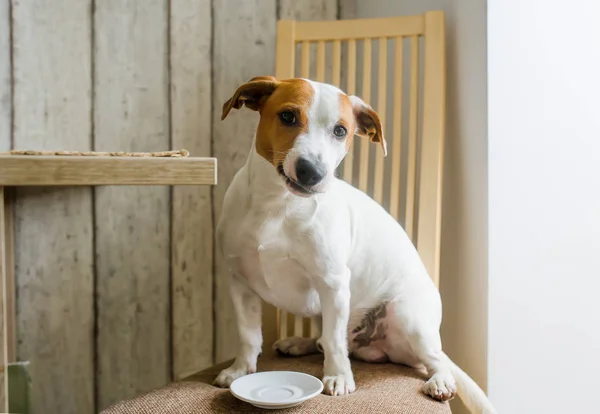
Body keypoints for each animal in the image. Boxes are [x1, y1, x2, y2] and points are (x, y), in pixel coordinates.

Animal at [213, 76, 494, 412]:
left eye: (340, 131)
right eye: (288, 116)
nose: (312, 172)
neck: (278, 205)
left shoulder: (332, 283)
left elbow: (335, 342)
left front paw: (338, 377)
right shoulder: (240, 283)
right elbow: (248, 336)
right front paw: (240, 370)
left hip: (408, 316)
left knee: (433, 360)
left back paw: (440, 381)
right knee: (324, 340)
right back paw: (299, 343)